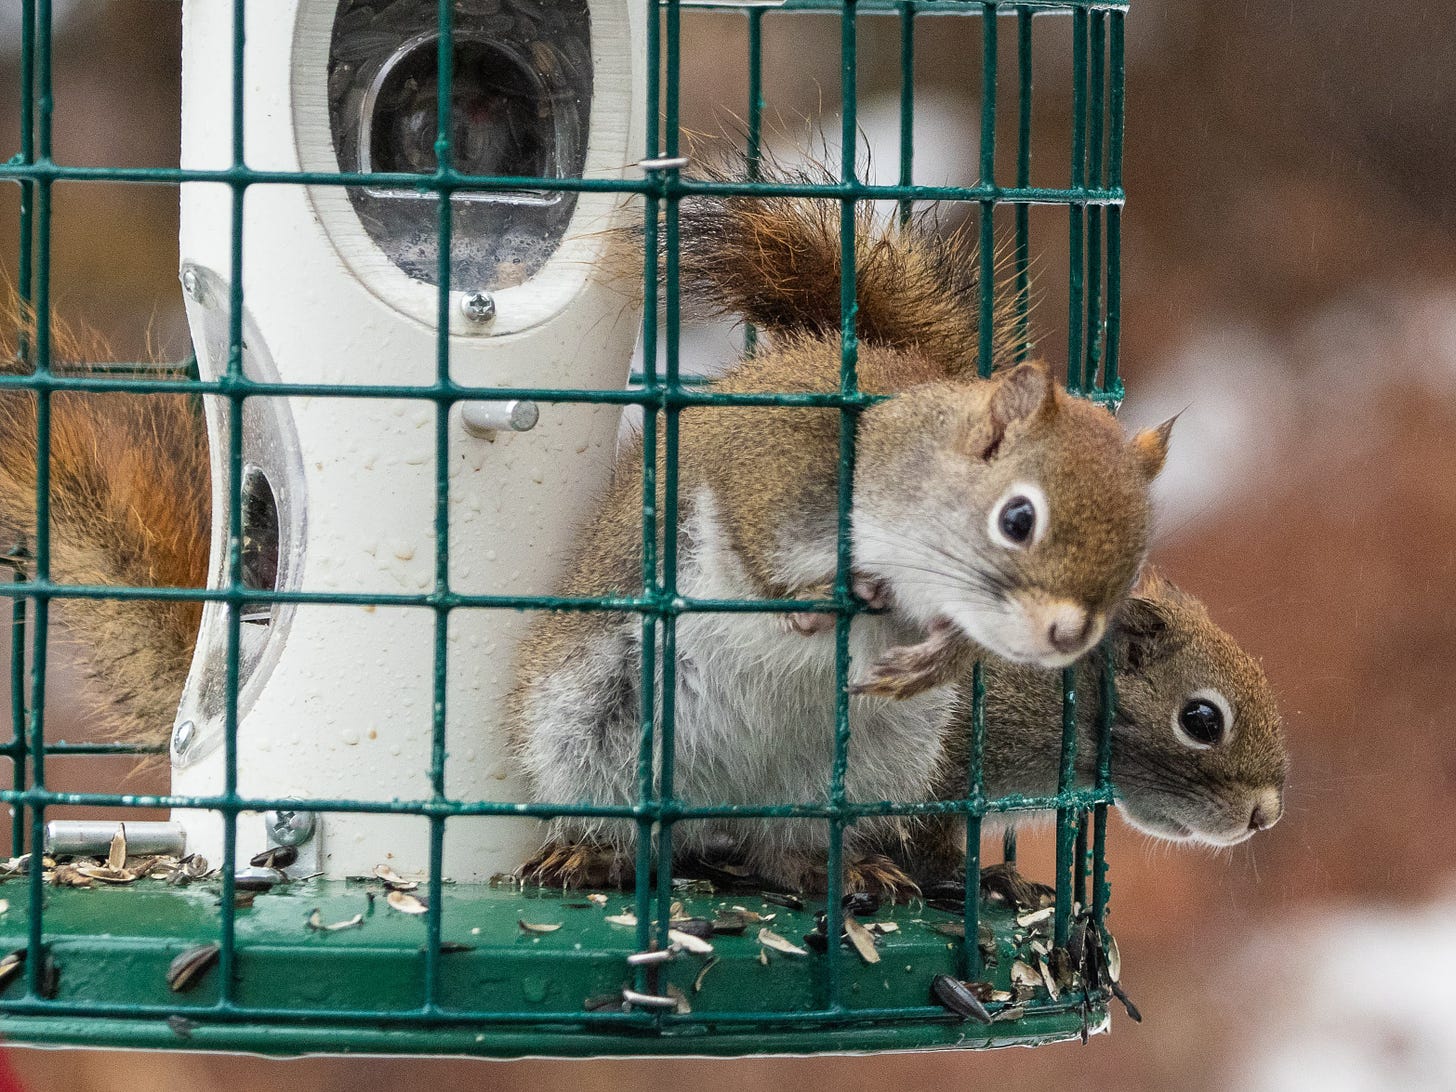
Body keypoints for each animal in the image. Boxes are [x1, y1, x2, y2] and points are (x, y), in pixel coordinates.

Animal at [506, 160, 1176, 896]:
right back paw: (592, 855)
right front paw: (806, 600)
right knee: (619, 817)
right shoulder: (768, 472)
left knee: (781, 849)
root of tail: (721, 808)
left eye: (1137, 556)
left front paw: (930, 661)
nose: (1068, 636)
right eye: (1018, 518)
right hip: (590, 728)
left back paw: (842, 869)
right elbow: (750, 545)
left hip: (862, 767)